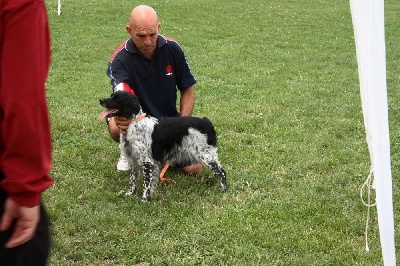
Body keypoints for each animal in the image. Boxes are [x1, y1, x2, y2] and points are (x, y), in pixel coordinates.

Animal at [99, 90, 227, 203]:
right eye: (112, 95)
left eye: (117, 99)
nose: (100, 100)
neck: (134, 123)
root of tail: (207, 122)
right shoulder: (134, 160)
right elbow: (133, 180)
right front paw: (130, 193)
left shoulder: (147, 162)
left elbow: (147, 184)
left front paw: (144, 199)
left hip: (204, 155)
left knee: (222, 171)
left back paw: (223, 188)